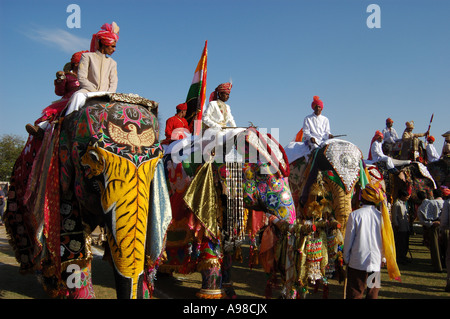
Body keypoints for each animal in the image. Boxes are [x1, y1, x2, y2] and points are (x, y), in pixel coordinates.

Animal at [160, 127, 298, 300]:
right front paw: (211, 294)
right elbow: (211, 241)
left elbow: (228, 247)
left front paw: (229, 292)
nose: (283, 294)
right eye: (262, 175)